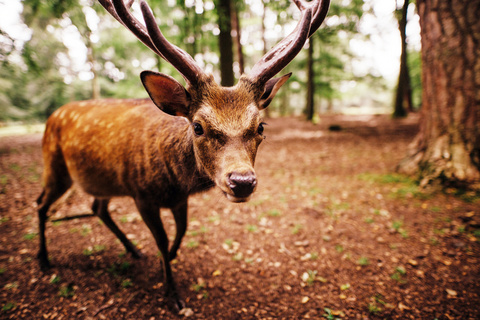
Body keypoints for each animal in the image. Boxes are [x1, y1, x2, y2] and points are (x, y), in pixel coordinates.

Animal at [36, 0, 330, 312]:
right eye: (198, 126)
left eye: (260, 126)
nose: (242, 181)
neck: (172, 182)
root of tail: (52, 116)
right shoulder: (141, 195)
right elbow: (163, 240)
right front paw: (172, 293)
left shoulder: (179, 199)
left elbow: (182, 231)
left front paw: (169, 261)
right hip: (54, 167)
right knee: (42, 203)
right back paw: (43, 259)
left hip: (100, 180)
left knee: (97, 207)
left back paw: (134, 251)